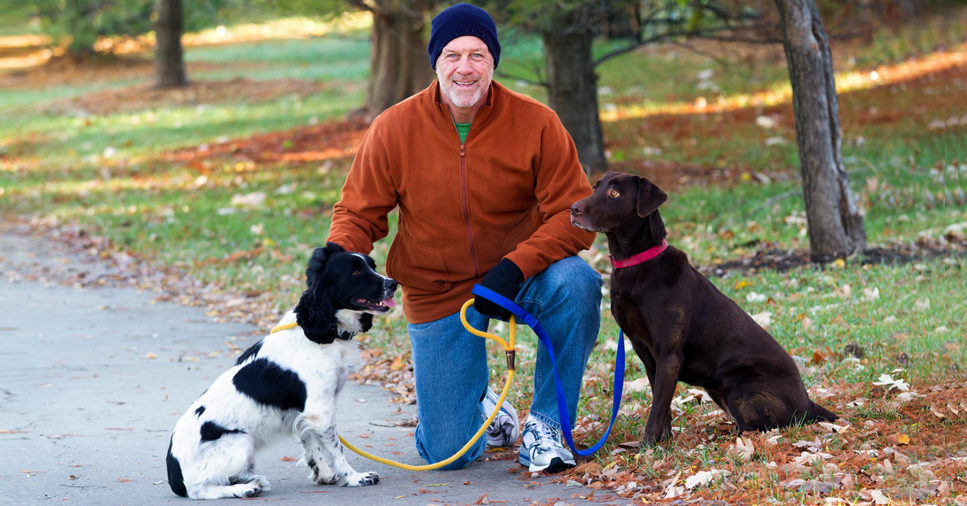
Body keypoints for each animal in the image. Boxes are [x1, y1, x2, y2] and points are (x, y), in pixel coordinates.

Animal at [166, 243, 398, 500]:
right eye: (356, 272)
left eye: (373, 266)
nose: (393, 283)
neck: (320, 330)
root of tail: (174, 474)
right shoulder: (320, 410)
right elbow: (336, 448)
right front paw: (354, 477)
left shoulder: (307, 411)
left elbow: (311, 442)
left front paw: (324, 475)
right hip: (240, 443)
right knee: (201, 489)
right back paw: (246, 488)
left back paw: (250, 479)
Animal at [572, 173, 836, 446]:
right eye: (595, 187)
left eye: (614, 193)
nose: (573, 209)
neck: (636, 264)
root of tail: (809, 404)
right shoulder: (648, 355)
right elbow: (662, 406)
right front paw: (664, 443)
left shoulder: (669, 356)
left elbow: (656, 411)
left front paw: (646, 447)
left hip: (740, 386)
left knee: (757, 428)